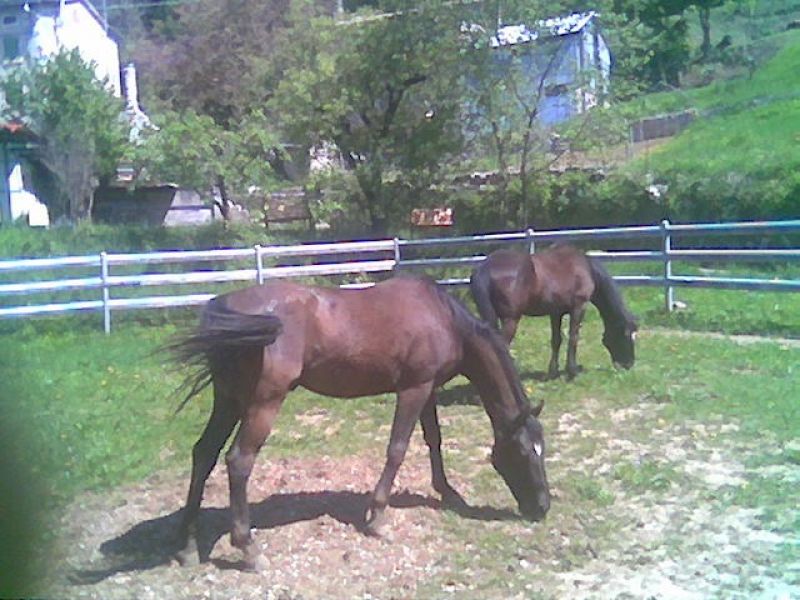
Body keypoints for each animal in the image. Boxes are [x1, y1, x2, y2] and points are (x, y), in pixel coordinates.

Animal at [168, 275, 550, 571]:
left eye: (542, 449)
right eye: (522, 453)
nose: (542, 507)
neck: (443, 319)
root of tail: (225, 307)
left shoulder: (427, 389)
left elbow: (434, 439)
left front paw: (447, 491)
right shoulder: (413, 389)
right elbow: (397, 448)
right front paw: (377, 518)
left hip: (229, 400)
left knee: (203, 454)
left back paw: (187, 545)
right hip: (262, 404)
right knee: (238, 462)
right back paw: (249, 550)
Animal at [470, 244, 637, 380]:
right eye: (627, 337)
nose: (629, 364)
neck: (585, 268)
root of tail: (485, 268)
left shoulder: (556, 313)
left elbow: (556, 340)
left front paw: (553, 372)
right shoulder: (579, 307)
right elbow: (573, 338)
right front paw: (572, 371)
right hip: (511, 320)